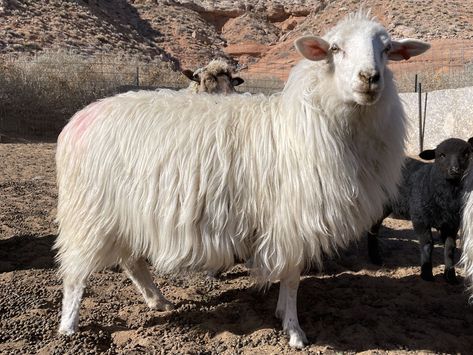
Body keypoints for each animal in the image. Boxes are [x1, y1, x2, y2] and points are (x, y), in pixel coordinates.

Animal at [54, 10, 428, 348]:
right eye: (335, 49)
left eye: (387, 49)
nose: (370, 78)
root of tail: (79, 118)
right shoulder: (292, 218)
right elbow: (292, 277)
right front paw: (294, 331)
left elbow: (288, 278)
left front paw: (282, 314)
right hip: (89, 211)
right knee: (76, 272)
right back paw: (69, 327)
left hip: (126, 211)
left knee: (131, 261)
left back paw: (157, 300)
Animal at [368, 138, 472, 286]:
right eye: (441, 155)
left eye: (466, 153)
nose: (455, 170)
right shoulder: (420, 218)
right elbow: (427, 245)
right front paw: (427, 274)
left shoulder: (452, 224)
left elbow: (450, 248)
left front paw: (450, 276)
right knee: (373, 229)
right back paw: (375, 258)